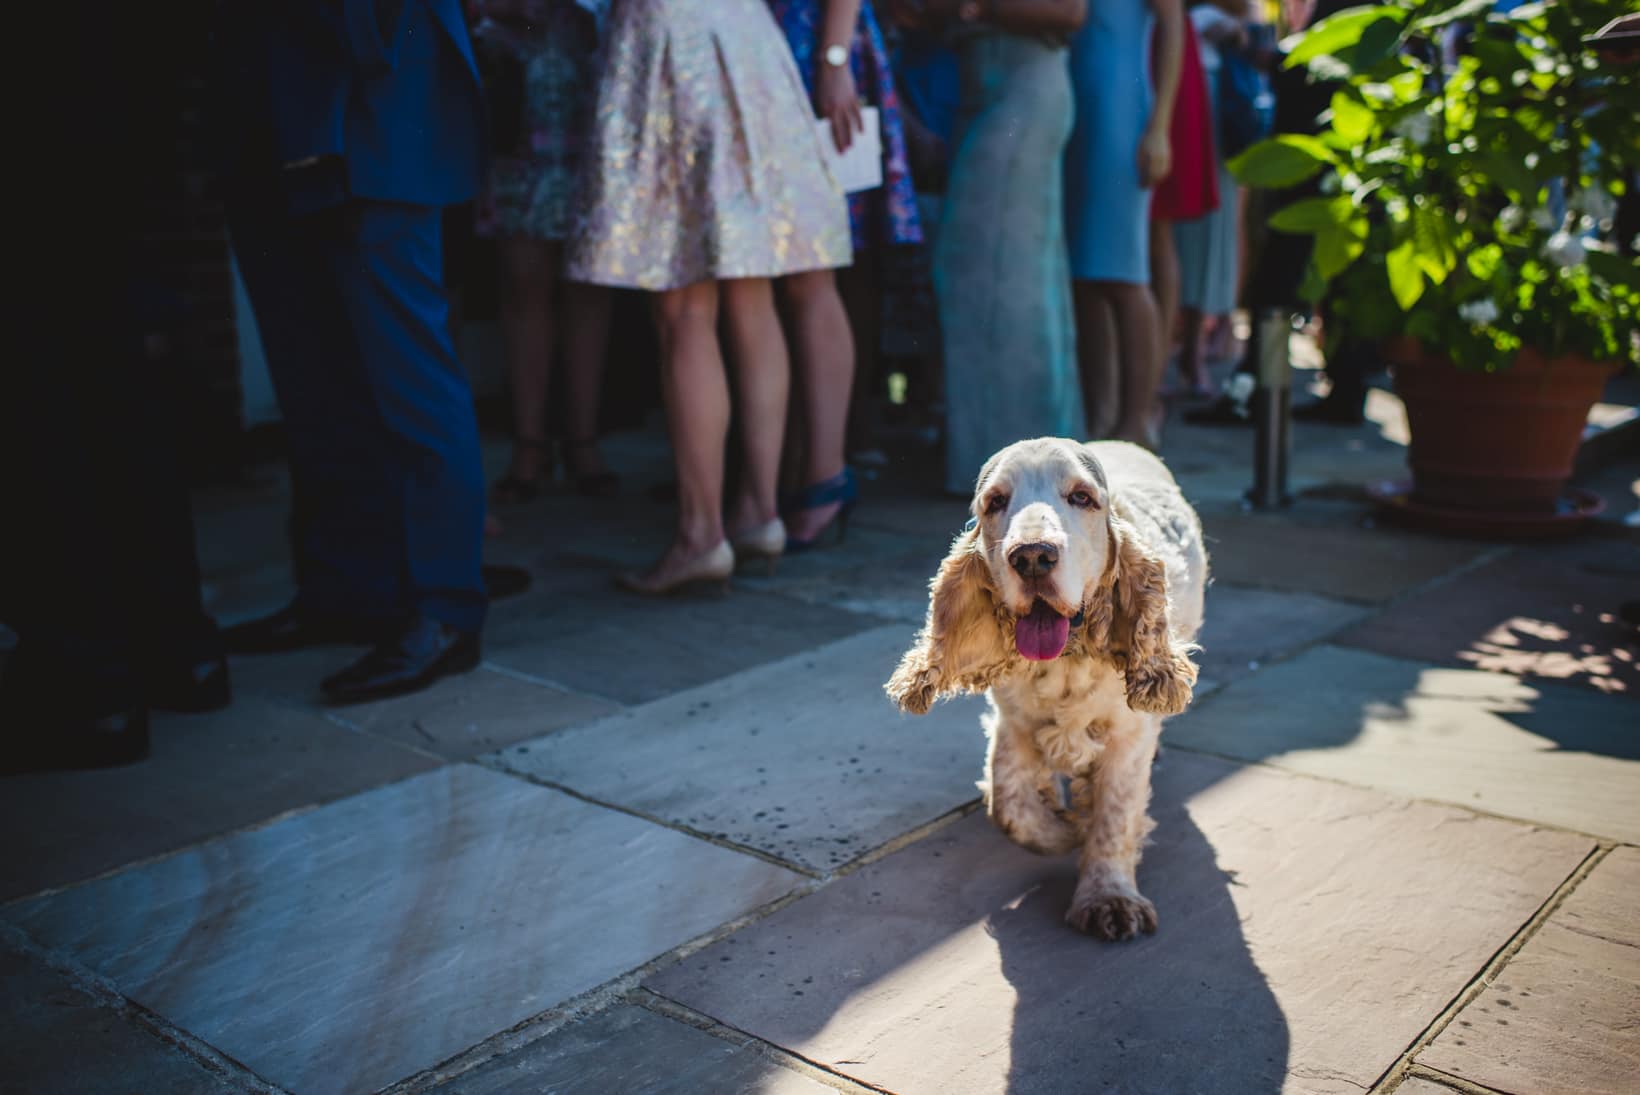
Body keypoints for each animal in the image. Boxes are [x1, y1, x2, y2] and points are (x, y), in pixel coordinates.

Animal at [885, 439, 1207, 937]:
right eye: (995, 501)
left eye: (1082, 497)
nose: (1032, 556)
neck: (1066, 660)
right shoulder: (1013, 724)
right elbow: (1009, 807)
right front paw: (1065, 829)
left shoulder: (1127, 736)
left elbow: (1114, 816)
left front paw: (1109, 897)